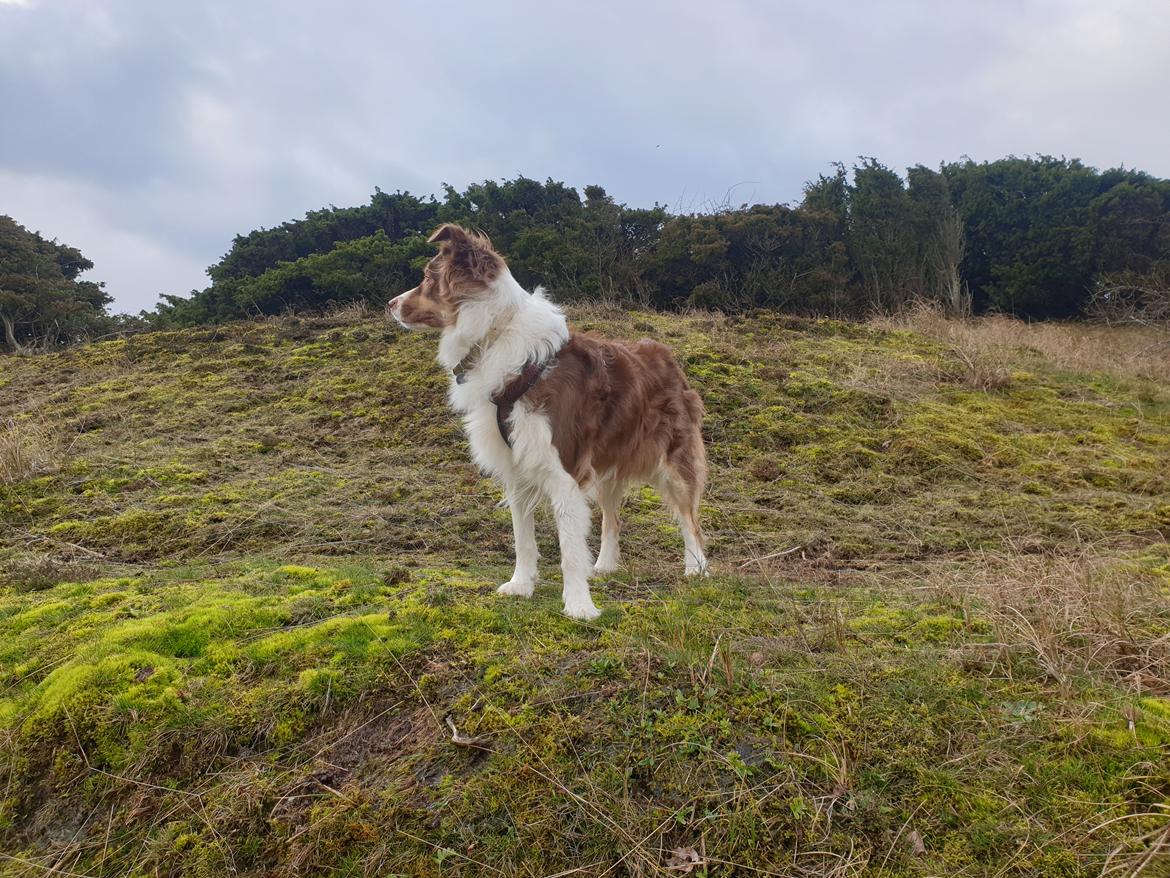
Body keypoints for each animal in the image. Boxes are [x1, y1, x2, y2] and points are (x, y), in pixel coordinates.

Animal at [388, 227, 706, 627]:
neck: (496, 333)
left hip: (674, 462)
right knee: (612, 517)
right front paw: (521, 585)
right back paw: (605, 565)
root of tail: (668, 357)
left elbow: (569, 547)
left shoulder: (565, 472)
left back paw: (697, 568)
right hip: (607, 464)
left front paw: (579, 606)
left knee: (690, 519)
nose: (390, 303)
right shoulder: (518, 469)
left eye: (428, 278)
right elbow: (522, 539)